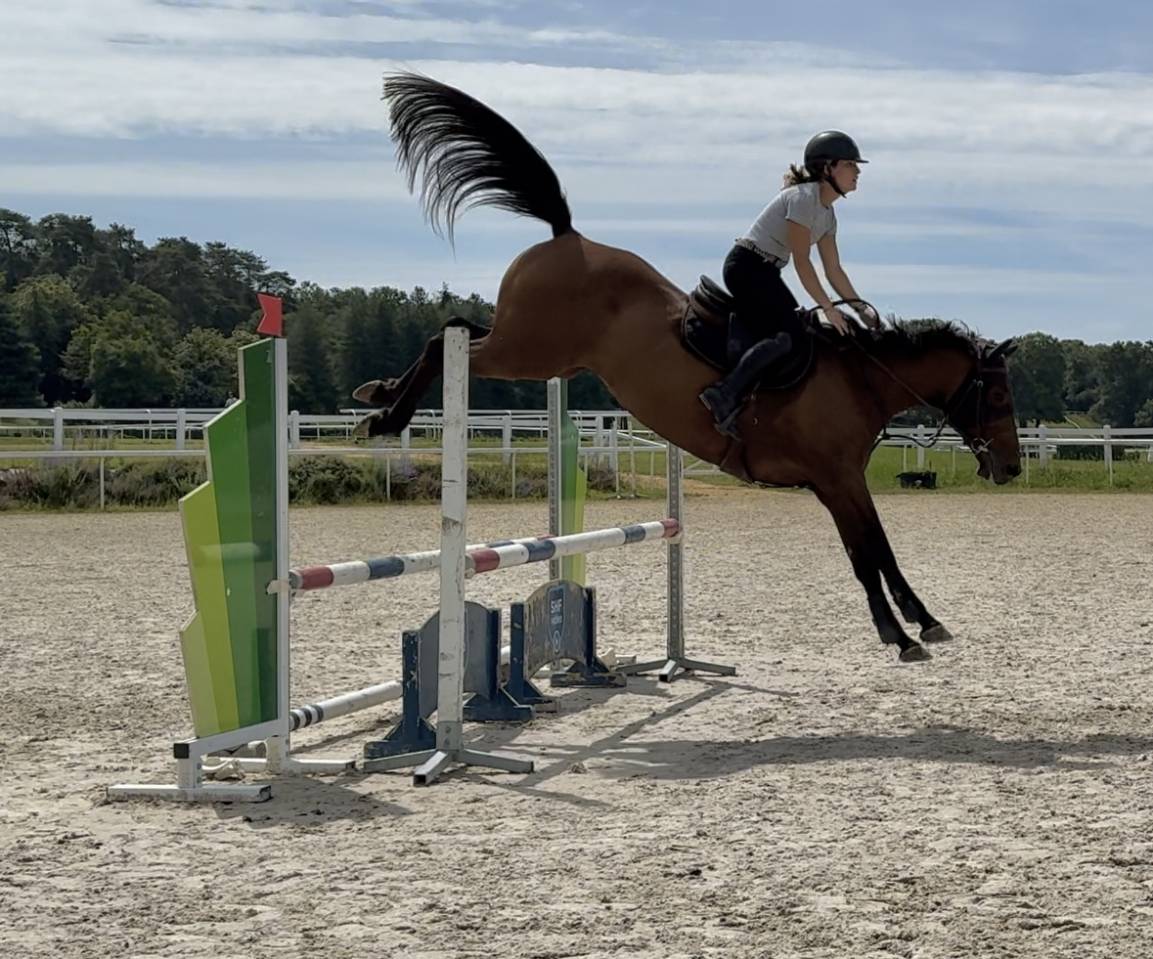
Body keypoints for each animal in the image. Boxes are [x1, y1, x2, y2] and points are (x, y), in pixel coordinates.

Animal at [353, 72, 1022, 663]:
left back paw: (379, 396)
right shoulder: (835, 480)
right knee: (447, 343)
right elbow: (866, 555)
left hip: (537, 348)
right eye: (996, 399)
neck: (861, 380)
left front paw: (922, 622)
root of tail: (568, 236)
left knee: (454, 327)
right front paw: (901, 635)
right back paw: (383, 417)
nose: (1012, 469)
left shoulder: (845, 480)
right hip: (528, 351)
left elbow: (878, 550)